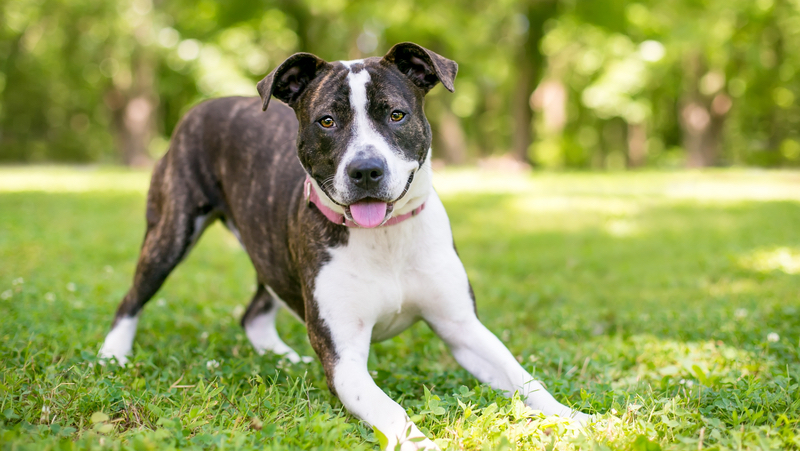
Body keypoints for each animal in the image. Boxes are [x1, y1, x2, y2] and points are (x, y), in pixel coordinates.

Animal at [100, 41, 588, 448]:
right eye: (327, 121)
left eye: (396, 115)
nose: (366, 169)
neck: (385, 237)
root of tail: (205, 106)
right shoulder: (345, 361)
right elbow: (392, 412)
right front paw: (421, 442)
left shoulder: (462, 328)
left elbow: (523, 378)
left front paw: (575, 418)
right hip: (171, 233)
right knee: (132, 298)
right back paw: (112, 356)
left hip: (269, 249)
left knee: (255, 311)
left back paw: (284, 357)